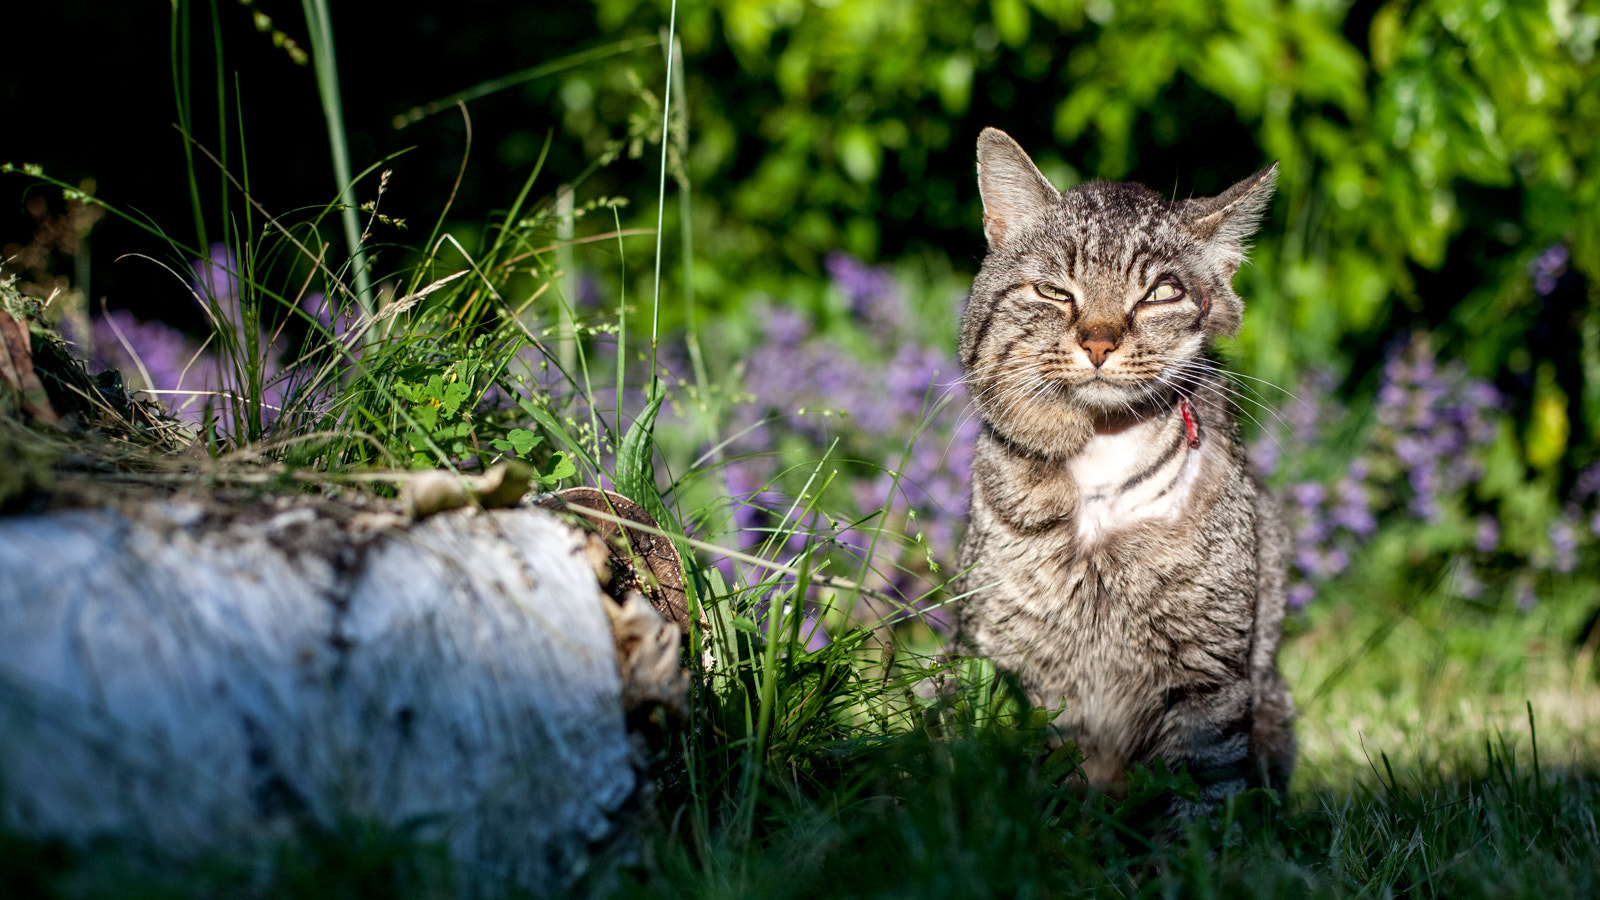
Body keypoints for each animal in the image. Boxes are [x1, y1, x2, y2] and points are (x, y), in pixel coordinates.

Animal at [953, 128, 1292, 797]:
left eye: (1162, 292)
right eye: (1055, 290)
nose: (1099, 341)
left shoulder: (1207, 674)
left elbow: (1202, 787)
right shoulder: (1008, 661)